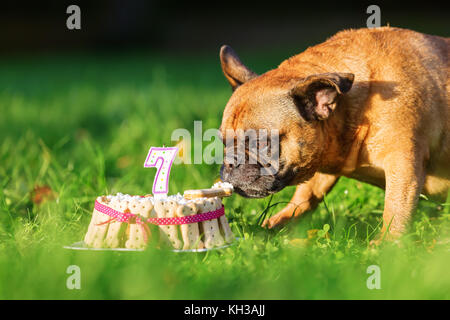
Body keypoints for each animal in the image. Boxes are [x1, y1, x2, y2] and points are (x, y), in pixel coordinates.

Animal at [219, 26, 450, 239]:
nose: (230, 162)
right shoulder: (320, 157)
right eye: (223, 143)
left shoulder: (402, 163)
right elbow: (306, 195)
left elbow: (395, 207)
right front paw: (278, 222)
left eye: (261, 142)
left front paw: (387, 243)